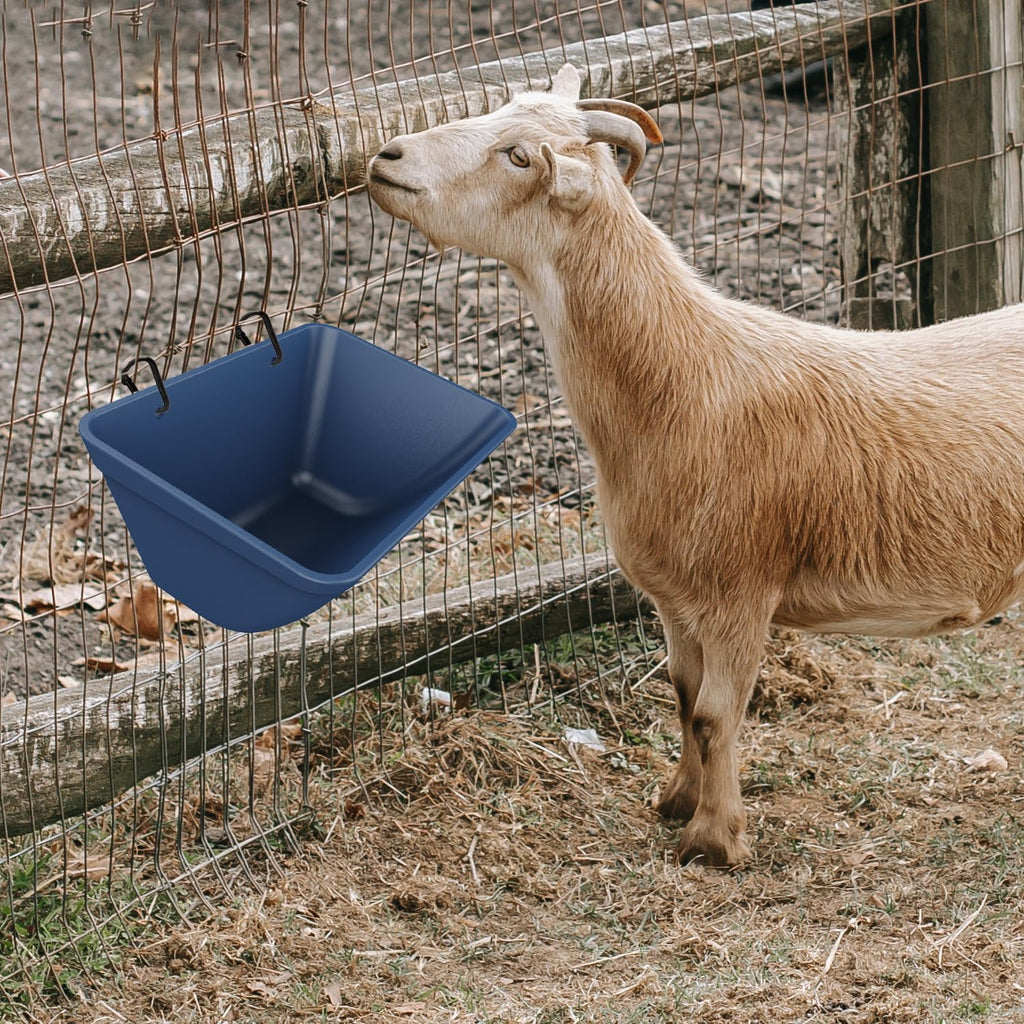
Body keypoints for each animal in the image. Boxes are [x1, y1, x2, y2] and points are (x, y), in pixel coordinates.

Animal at [367, 64, 1024, 867]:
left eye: (519, 156)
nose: (388, 156)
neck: (685, 382)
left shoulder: (743, 589)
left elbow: (717, 715)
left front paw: (714, 839)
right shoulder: (674, 596)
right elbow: (682, 695)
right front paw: (675, 801)